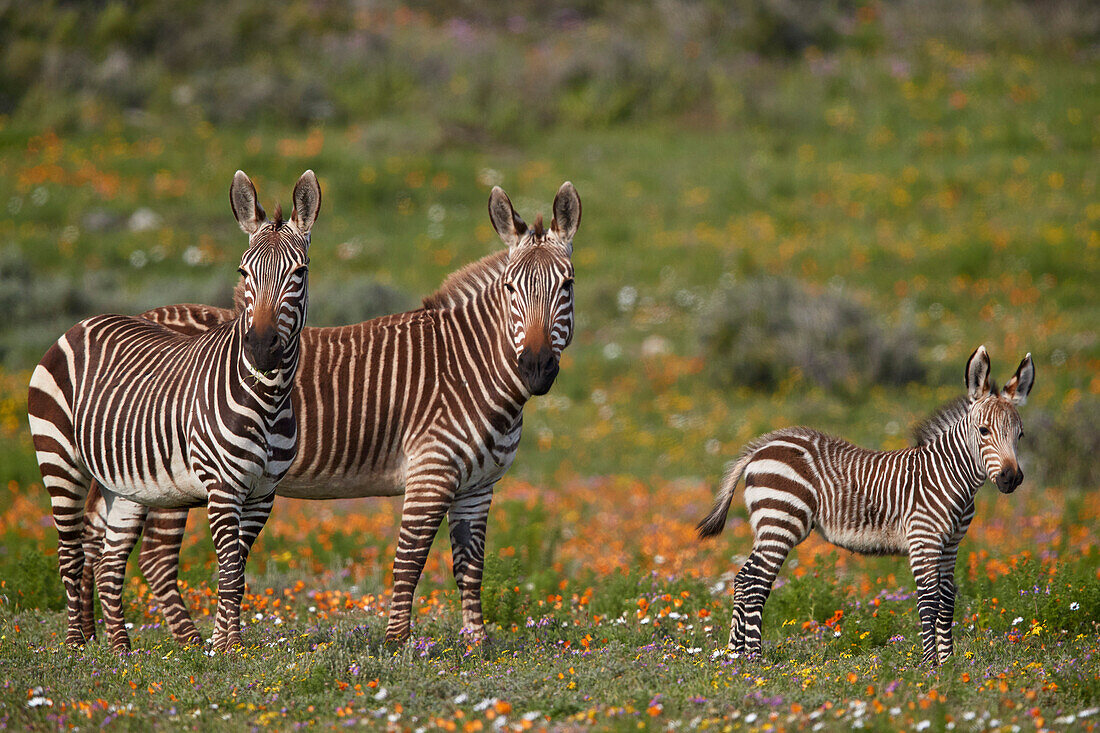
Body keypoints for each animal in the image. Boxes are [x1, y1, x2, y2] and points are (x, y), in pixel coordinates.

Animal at [27, 168, 321, 647]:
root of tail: (82, 323)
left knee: (109, 562)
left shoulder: (263, 494)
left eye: (300, 272)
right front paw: (229, 647)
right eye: (243, 271)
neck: (270, 399)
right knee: (70, 555)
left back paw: (121, 650)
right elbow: (229, 571)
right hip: (59, 460)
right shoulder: (224, 487)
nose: (260, 349)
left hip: (126, 483)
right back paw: (76, 646)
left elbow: (238, 572)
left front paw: (224, 645)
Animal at [78, 181, 585, 647]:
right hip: (171, 474)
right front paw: (398, 645)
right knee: (155, 558)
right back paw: (186, 644)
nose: (536, 367)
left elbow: (470, 567)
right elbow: (409, 561)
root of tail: (145, 315)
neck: (469, 367)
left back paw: (89, 640)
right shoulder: (431, 473)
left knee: (97, 540)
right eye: (511, 288)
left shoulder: (479, 486)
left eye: (567, 285)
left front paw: (477, 647)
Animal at [699, 345, 1034, 664]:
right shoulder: (923, 539)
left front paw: (949, 660)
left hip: (770, 526)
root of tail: (763, 446)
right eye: (984, 431)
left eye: (1020, 435)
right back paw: (755, 658)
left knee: (743, 579)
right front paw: (931, 664)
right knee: (755, 583)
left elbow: (947, 599)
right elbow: (928, 600)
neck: (948, 476)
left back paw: (734, 655)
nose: (1011, 478)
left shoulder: (951, 544)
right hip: (780, 520)